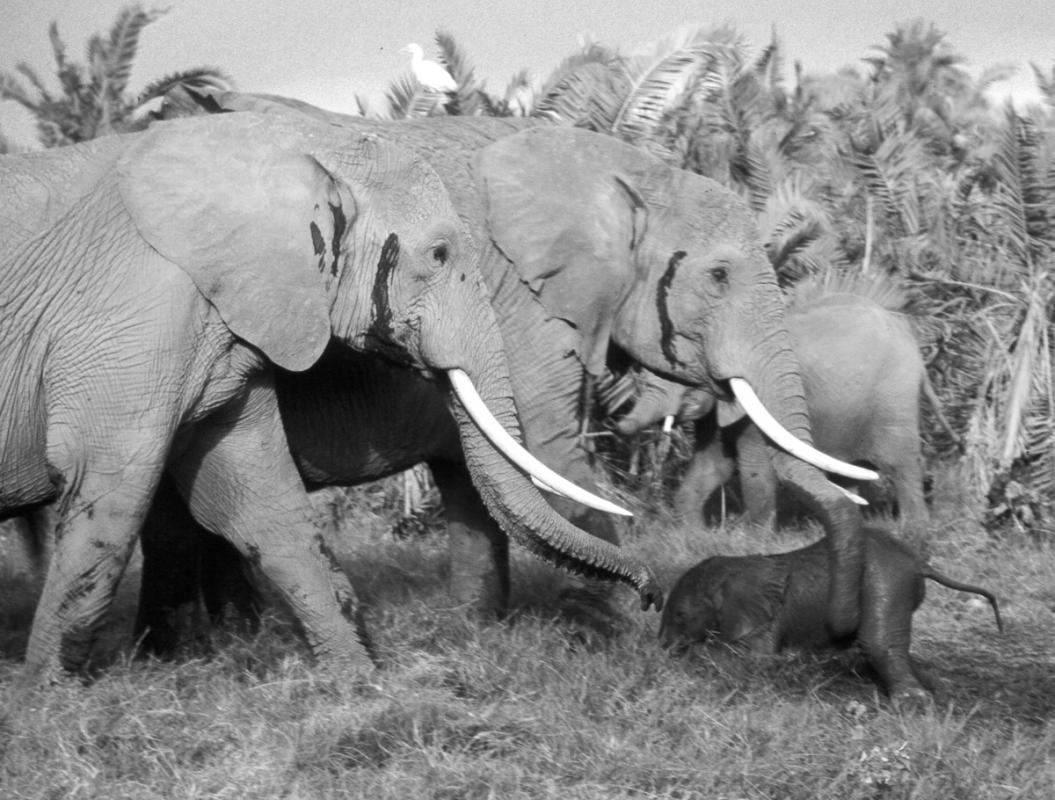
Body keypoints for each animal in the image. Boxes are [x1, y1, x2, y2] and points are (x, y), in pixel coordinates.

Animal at [0, 111, 662, 681]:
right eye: (440, 254)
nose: (652, 595)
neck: (296, 145)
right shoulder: (131, 310)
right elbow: (108, 485)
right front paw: (47, 700)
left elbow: (262, 500)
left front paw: (363, 683)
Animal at [127, 88, 876, 650]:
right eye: (719, 277)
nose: (841, 633)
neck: (615, 168)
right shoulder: (520, 307)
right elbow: (548, 450)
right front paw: (609, 636)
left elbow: (476, 483)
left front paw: (477, 630)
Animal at [615, 291, 945, 528]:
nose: (619, 425)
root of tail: (912, 341)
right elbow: (713, 465)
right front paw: (694, 537)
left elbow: (755, 469)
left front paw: (753, 541)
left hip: (894, 398)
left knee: (901, 463)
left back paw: (913, 530)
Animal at [658, 525, 1003, 702]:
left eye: (680, 614)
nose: (662, 648)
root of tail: (920, 562)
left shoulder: (765, 622)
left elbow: (754, 659)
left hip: (886, 582)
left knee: (879, 644)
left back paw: (910, 702)